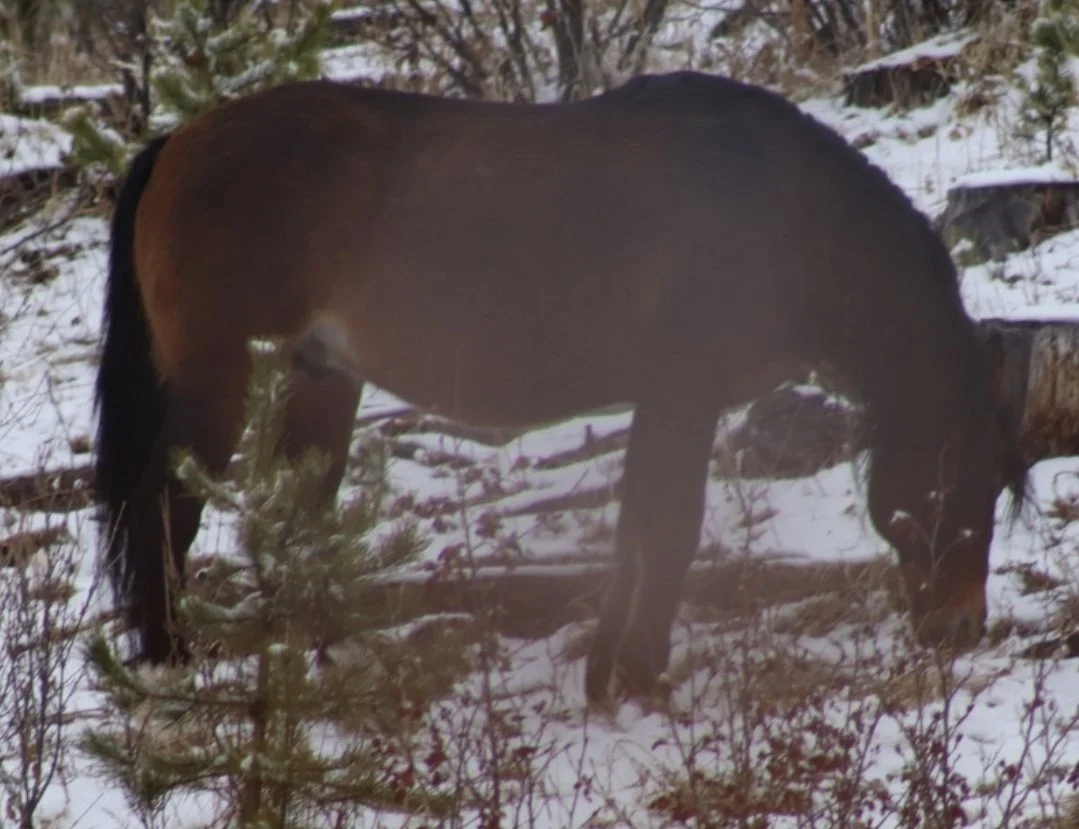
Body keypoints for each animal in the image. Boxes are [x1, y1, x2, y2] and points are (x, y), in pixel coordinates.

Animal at [95, 71, 1028, 704]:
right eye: (966, 477)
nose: (959, 628)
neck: (778, 215)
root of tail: (177, 140)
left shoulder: (664, 398)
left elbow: (635, 530)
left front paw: (607, 673)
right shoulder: (685, 392)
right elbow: (669, 530)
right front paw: (643, 676)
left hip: (320, 376)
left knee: (299, 522)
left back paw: (330, 657)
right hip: (220, 374)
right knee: (166, 505)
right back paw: (171, 661)